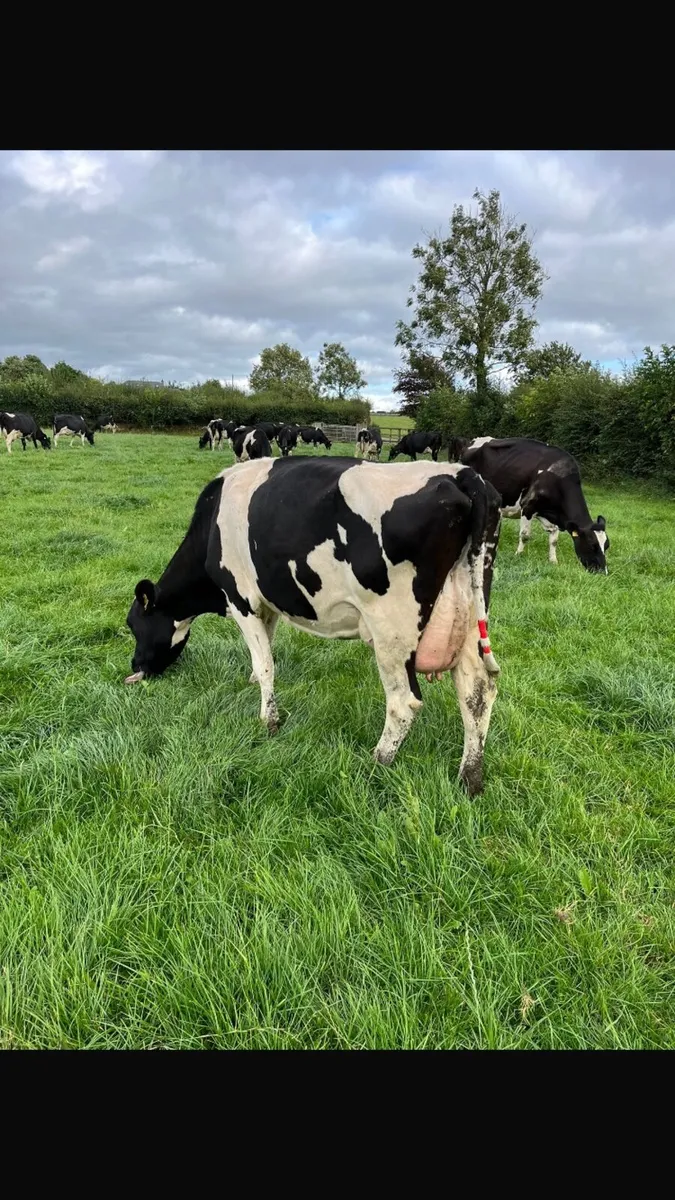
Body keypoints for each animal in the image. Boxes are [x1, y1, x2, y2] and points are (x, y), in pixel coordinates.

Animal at [124, 456, 502, 795]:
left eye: (133, 625)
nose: (135, 666)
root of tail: (461, 474)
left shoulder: (240, 598)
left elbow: (265, 662)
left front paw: (269, 720)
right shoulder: (267, 603)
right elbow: (264, 651)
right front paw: (255, 686)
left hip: (392, 630)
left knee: (404, 702)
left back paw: (377, 761)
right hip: (470, 612)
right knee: (477, 693)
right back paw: (470, 778)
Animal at [455, 436, 609, 573]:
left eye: (606, 546)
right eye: (592, 545)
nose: (603, 571)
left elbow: (554, 538)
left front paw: (553, 560)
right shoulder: (527, 506)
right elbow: (525, 535)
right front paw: (518, 554)